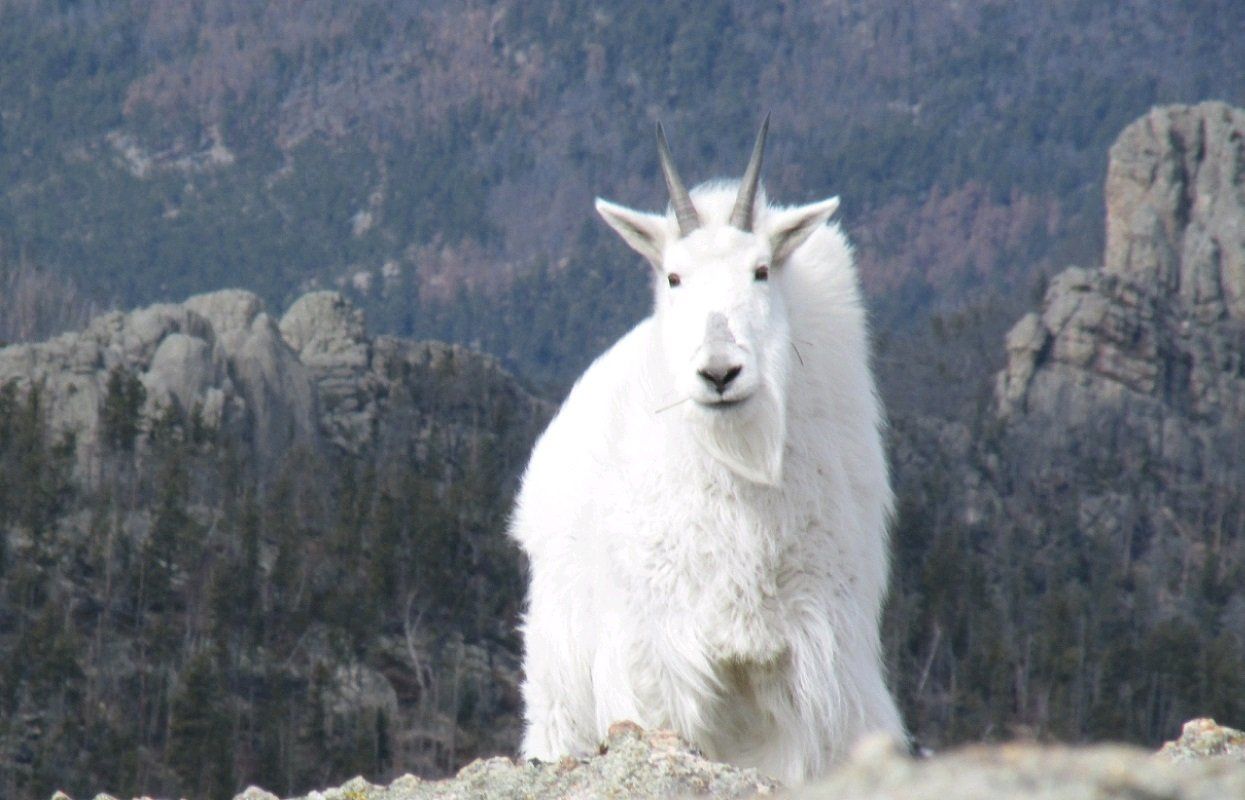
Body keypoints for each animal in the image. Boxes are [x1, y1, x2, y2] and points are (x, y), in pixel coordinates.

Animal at [508, 117, 905, 784]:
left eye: (762, 270)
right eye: (673, 276)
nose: (720, 373)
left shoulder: (809, 665)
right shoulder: (658, 660)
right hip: (560, 668)